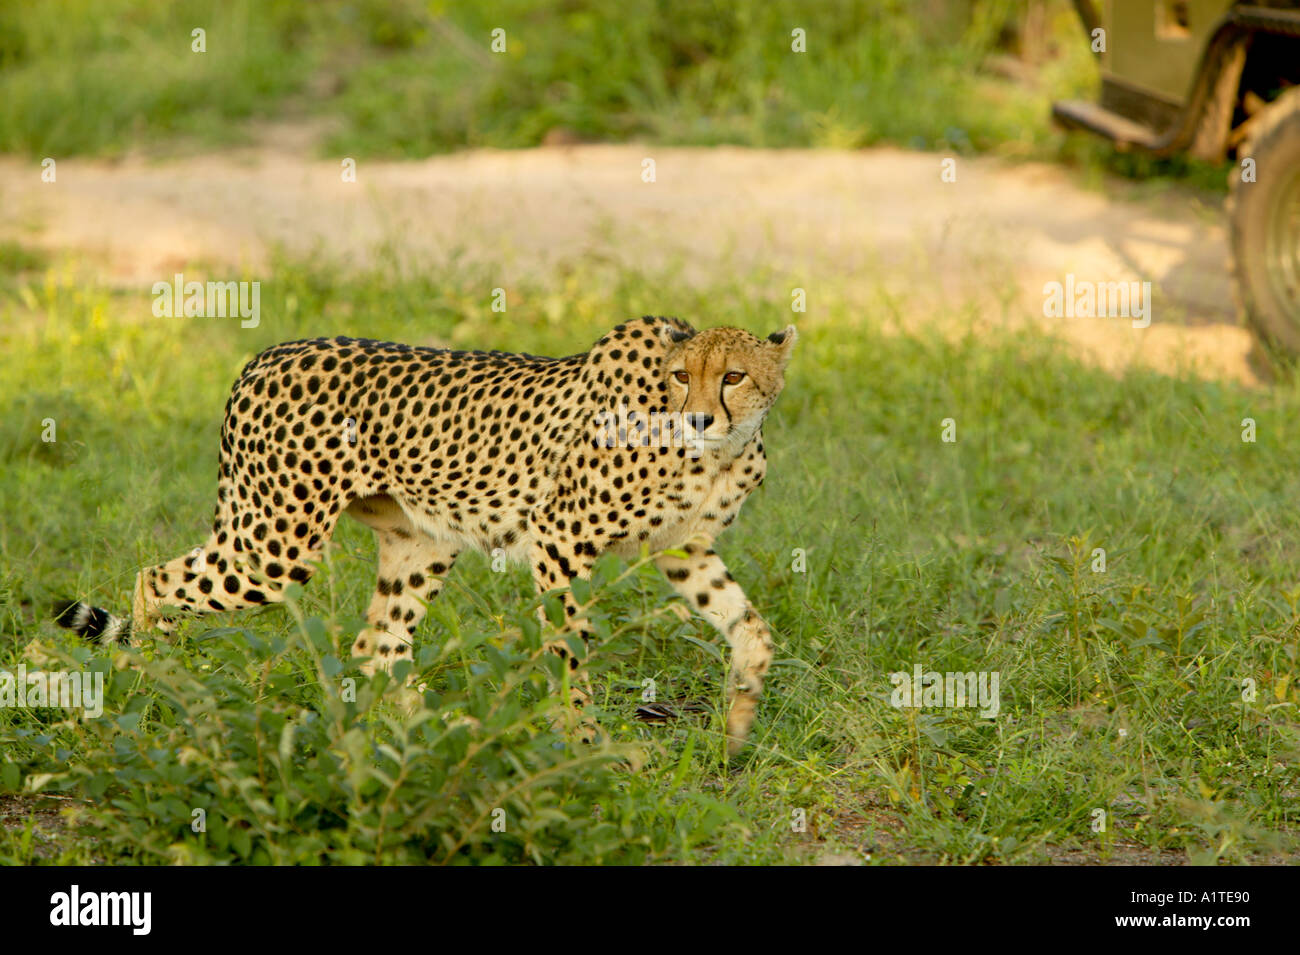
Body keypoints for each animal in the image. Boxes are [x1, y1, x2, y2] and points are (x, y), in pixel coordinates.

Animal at [54, 316, 797, 754]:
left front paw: (737, 724)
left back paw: (430, 735)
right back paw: (160, 682)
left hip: (419, 543)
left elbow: (753, 629)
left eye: (733, 375)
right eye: (682, 376)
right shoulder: (560, 541)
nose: (699, 417)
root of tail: (267, 352)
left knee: (375, 646)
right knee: (154, 579)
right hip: (275, 545)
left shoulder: (683, 551)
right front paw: (585, 744)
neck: (719, 452)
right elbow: (569, 651)